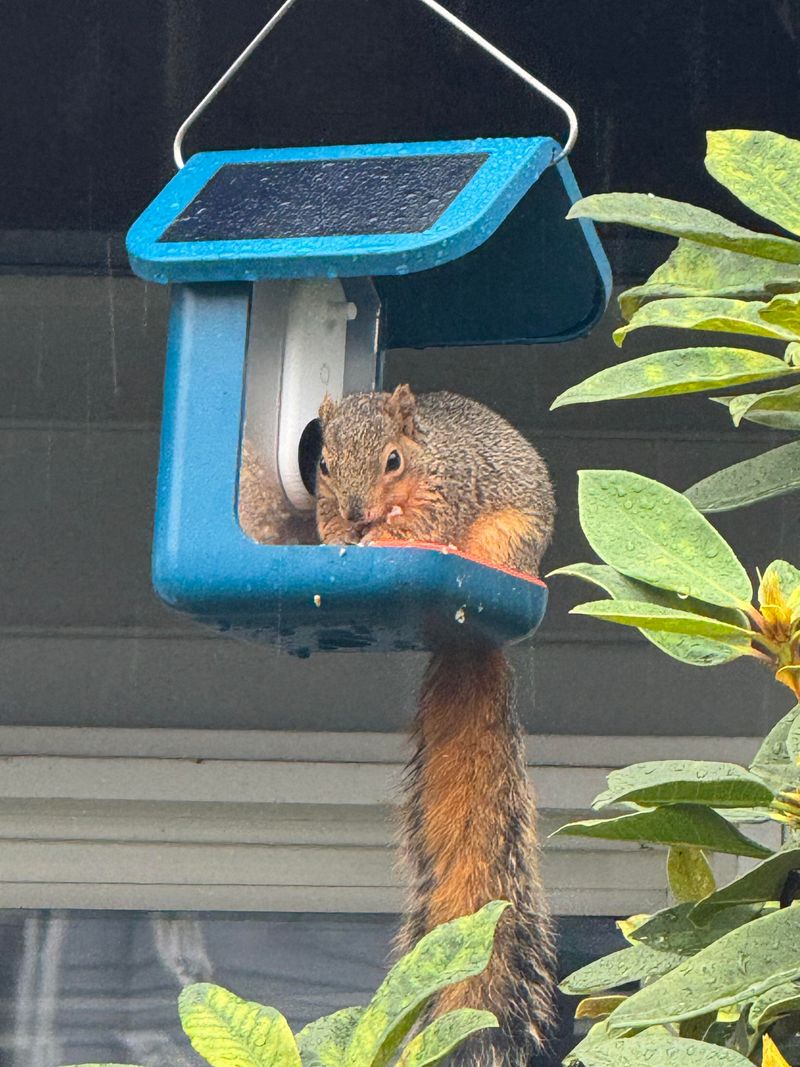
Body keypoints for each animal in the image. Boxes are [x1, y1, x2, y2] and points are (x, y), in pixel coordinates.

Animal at [317, 386, 558, 1067]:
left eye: (394, 461)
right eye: (319, 461)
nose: (356, 511)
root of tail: (466, 634)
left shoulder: (448, 491)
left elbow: (419, 526)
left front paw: (378, 535)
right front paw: (340, 532)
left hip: (506, 542)